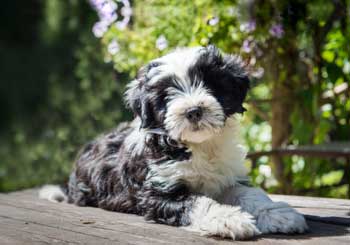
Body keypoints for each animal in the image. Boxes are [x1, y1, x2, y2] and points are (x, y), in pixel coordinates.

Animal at [41, 45, 308, 239]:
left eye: (210, 83)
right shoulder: (157, 193)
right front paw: (229, 219)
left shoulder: (228, 176)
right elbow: (197, 202)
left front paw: (279, 214)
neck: (199, 146)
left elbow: (250, 194)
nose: (193, 111)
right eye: (165, 95)